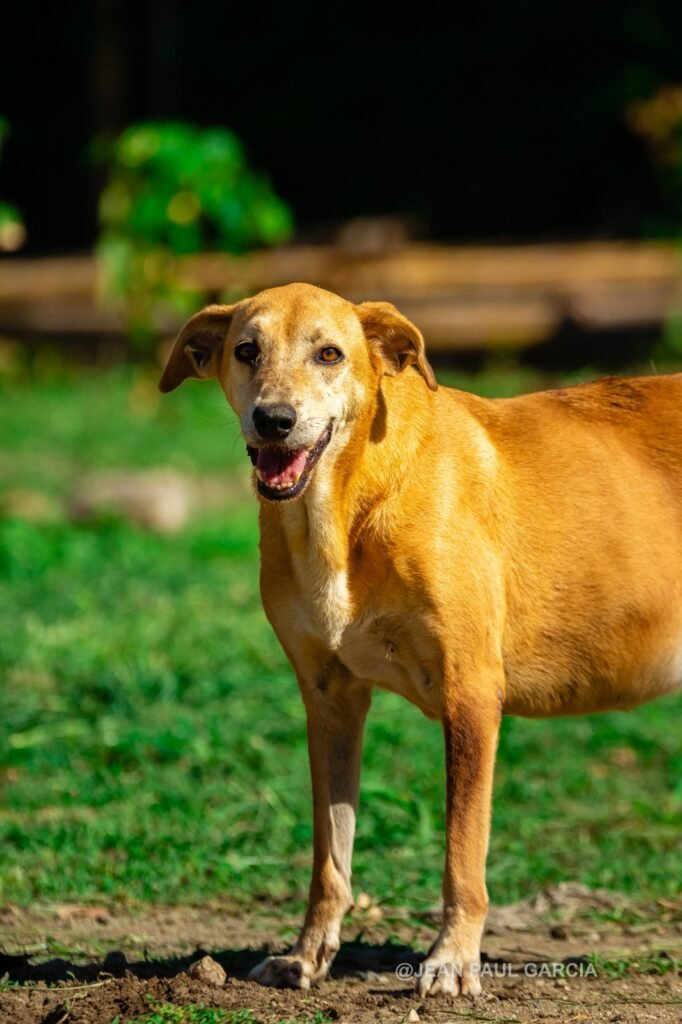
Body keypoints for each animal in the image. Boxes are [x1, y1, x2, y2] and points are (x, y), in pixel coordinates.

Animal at [160, 282, 682, 997]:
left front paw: (452, 960)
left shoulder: (471, 694)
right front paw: (308, 956)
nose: (274, 420)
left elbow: (463, 854)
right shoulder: (328, 699)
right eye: (246, 350)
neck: (345, 508)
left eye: (329, 354)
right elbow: (330, 856)